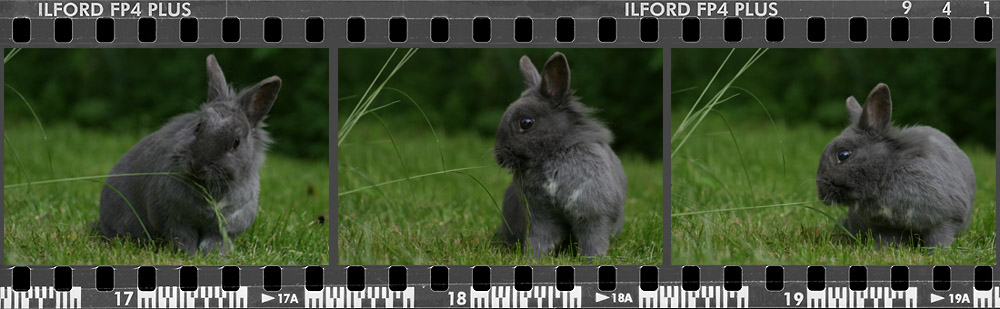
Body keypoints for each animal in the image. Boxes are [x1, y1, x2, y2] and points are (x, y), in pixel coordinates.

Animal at [97, 54, 280, 254]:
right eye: (198, 126)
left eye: (236, 142)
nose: (197, 165)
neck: (208, 186)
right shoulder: (175, 220)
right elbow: (183, 238)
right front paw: (190, 255)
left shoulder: (225, 227)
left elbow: (216, 242)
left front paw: (211, 256)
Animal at [492, 52, 624, 258]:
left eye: (526, 122)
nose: (499, 157)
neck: (553, 154)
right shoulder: (540, 216)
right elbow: (541, 239)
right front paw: (533, 258)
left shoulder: (593, 213)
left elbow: (593, 239)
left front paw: (592, 259)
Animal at [816, 82, 972, 248]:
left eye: (843, 155)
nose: (821, 193)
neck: (889, 171)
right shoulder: (885, 226)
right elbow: (886, 240)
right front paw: (880, 251)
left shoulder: (946, 220)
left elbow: (939, 238)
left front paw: (937, 251)